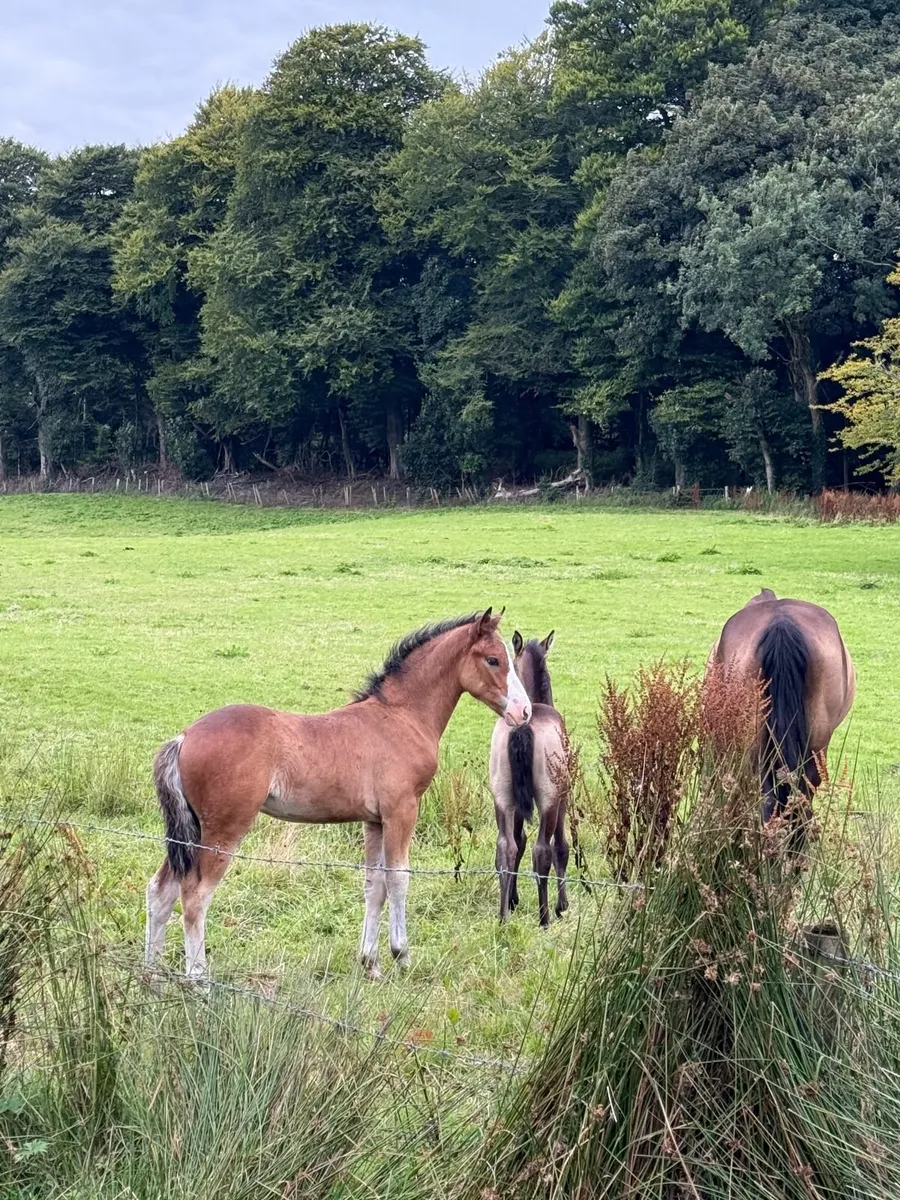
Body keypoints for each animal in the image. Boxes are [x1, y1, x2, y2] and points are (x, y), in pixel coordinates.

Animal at [145, 608, 531, 981]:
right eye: (494, 660)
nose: (523, 711)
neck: (401, 717)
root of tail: (183, 737)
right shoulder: (401, 810)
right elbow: (399, 878)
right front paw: (401, 956)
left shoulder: (374, 820)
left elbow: (374, 885)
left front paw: (371, 964)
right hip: (223, 829)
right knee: (195, 896)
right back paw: (198, 980)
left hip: (191, 831)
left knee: (160, 890)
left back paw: (151, 976)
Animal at [489, 631, 569, 926]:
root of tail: (523, 726)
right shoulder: (563, 798)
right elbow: (561, 847)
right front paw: (562, 905)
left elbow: (519, 841)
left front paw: (512, 899)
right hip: (548, 801)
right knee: (542, 850)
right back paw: (544, 918)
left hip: (501, 797)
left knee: (506, 847)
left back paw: (502, 917)